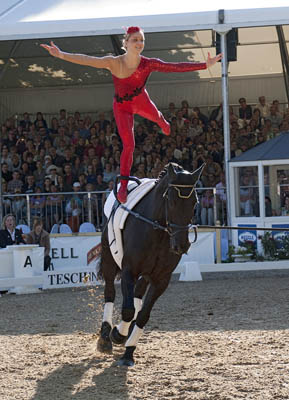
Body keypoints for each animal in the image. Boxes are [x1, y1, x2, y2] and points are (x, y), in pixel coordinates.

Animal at [97, 162, 200, 366]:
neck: (158, 231)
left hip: (145, 274)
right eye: (171, 201)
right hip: (109, 259)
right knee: (110, 292)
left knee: (137, 293)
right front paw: (117, 335)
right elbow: (128, 310)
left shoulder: (161, 280)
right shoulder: (129, 270)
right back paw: (105, 336)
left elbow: (143, 315)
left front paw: (129, 351)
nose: (181, 245)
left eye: (194, 203)